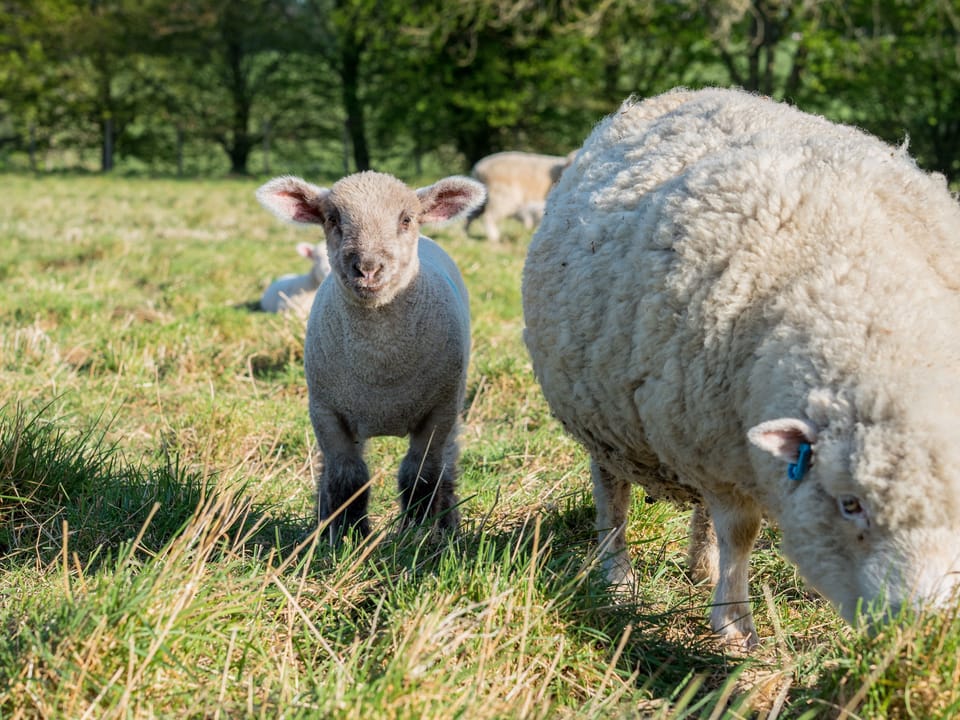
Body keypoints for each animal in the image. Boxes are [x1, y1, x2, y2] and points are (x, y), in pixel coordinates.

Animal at [256, 170, 486, 541]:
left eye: (406, 219)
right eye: (332, 219)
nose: (367, 268)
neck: (380, 366)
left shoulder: (439, 411)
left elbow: (420, 475)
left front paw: (418, 533)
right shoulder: (326, 412)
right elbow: (347, 477)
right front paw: (347, 535)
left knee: (447, 460)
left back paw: (448, 521)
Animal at [521, 86, 960, 648]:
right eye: (850, 504)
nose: (920, 632)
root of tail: (677, 94)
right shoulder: (720, 457)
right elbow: (741, 532)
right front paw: (733, 626)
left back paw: (699, 569)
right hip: (605, 417)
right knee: (612, 498)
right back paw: (618, 578)